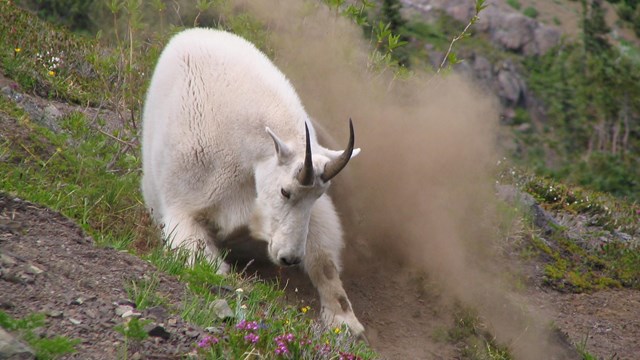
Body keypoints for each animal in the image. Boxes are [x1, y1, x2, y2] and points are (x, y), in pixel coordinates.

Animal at [142, 28, 364, 338]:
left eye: (318, 196)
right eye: (285, 191)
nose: (290, 258)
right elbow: (203, 257)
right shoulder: (183, 203)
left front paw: (345, 321)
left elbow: (323, 259)